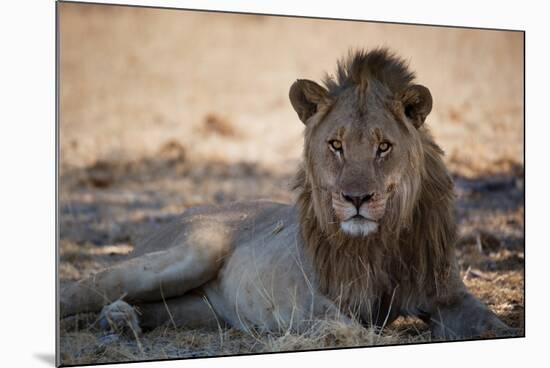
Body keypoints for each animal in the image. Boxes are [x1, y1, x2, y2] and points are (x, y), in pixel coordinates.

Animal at [59, 47, 512, 340]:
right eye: (336, 145)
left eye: (384, 146)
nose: (357, 200)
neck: (379, 241)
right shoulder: (312, 300)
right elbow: (353, 330)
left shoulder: (447, 294)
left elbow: (492, 325)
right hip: (187, 255)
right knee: (81, 289)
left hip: (198, 309)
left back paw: (121, 322)